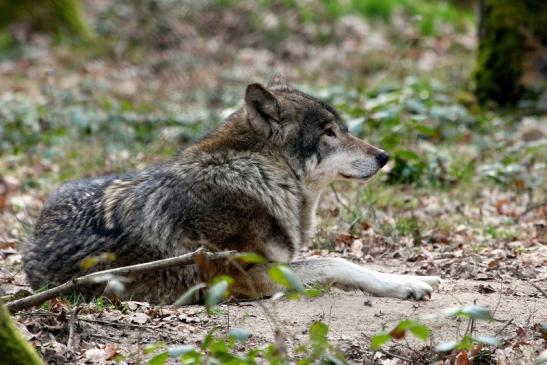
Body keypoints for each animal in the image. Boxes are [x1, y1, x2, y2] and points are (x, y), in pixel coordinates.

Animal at [22, 77, 440, 304]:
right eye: (329, 133)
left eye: (344, 129)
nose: (384, 156)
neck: (261, 176)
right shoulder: (247, 277)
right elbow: (338, 262)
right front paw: (410, 284)